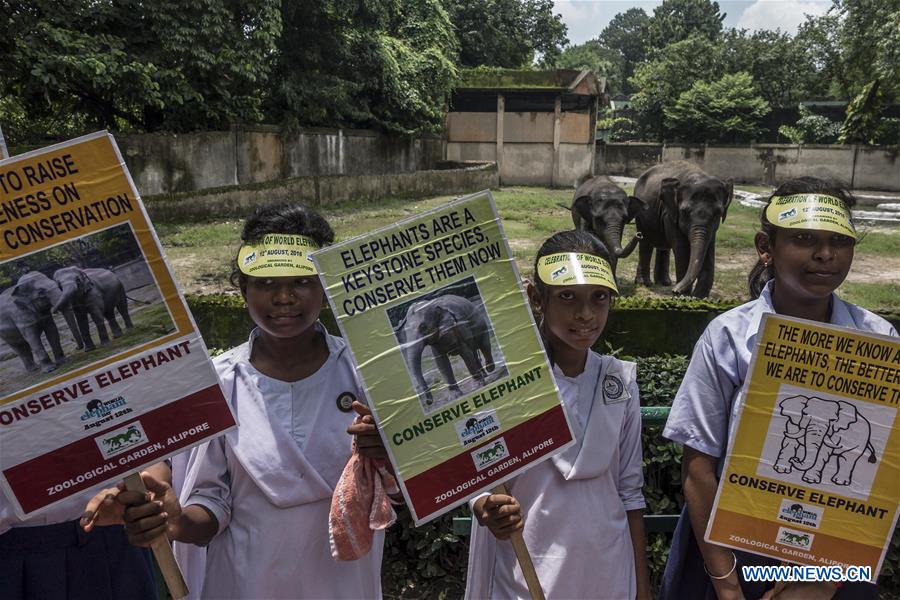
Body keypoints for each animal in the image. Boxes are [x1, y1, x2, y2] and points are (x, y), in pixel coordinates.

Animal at [632, 162, 732, 298]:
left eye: (718, 213)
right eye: (685, 212)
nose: (675, 290)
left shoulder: (712, 227)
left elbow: (709, 249)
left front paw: (699, 297)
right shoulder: (670, 213)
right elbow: (681, 247)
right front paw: (684, 295)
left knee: (663, 246)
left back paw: (665, 283)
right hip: (641, 214)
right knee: (645, 243)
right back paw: (644, 284)